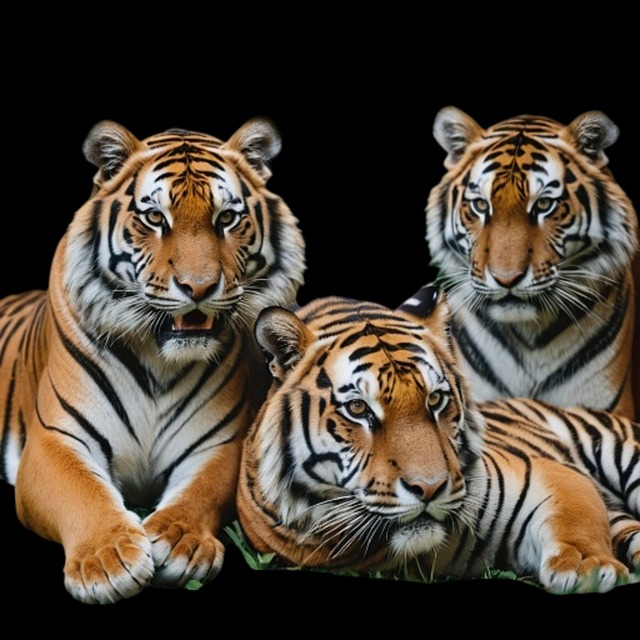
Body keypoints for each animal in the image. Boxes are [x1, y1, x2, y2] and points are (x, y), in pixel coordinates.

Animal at [0, 117, 306, 604]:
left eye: (226, 218)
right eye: (155, 218)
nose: (198, 287)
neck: (158, 361)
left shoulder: (221, 442)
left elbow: (201, 491)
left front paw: (180, 541)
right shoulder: (53, 441)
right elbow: (81, 490)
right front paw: (106, 560)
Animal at [236, 285, 639, 594]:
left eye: (434, 400)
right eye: (358, 408)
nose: (429, 489)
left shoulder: (544, 474)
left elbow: (577, 517)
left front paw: (590, 567)